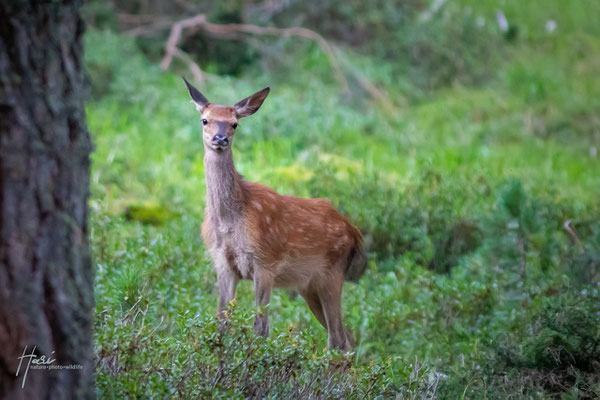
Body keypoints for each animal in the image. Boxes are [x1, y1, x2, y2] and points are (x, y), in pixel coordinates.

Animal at [183, 77, 368, 350]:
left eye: (235, 123)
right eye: (204, 120)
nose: (220, 138)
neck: (230, 221)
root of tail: (355, 232)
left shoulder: (265, 261)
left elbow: (260, 329)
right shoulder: (222, 263)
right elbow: (221, 324)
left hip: (332, 272)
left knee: (337, 339)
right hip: (308, 285)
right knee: (347, 337)